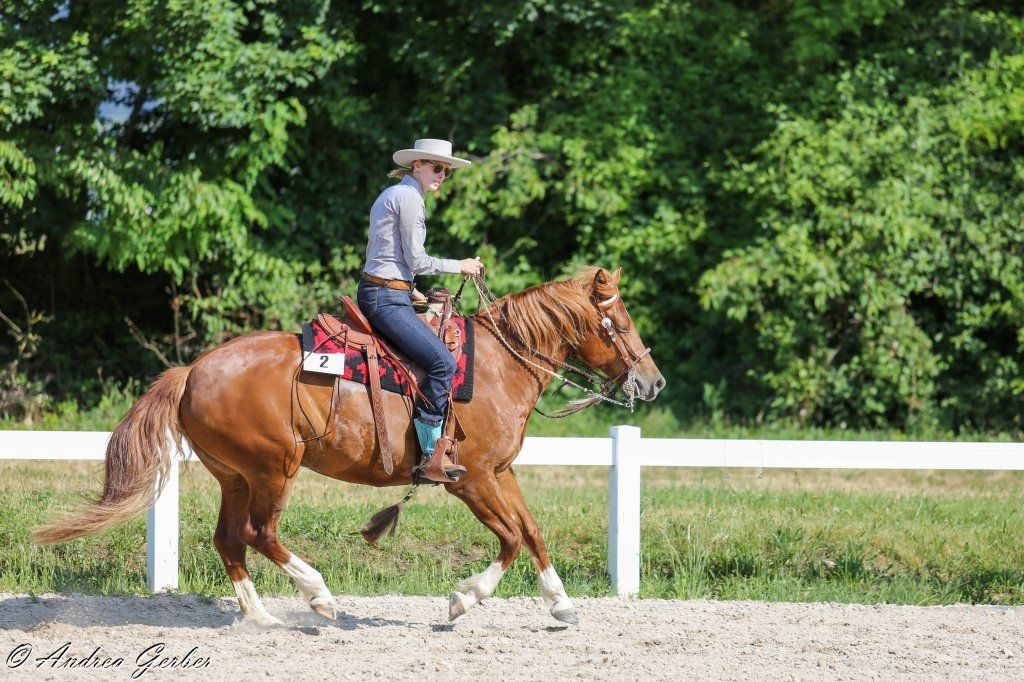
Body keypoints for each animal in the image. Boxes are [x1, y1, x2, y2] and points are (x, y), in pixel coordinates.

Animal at [34, 266, 665, 625]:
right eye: (618, 321)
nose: (652, 380)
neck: (497, 366)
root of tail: (191, 371)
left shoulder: (501, 473)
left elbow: (531, 532)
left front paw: (561, 603)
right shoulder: (473, 480)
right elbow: (510, 538)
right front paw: (464, 599)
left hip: (235, 474)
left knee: (229, 540)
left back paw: (262, 618)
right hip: (274, 469)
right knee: (259, 533)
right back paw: (318, 597)